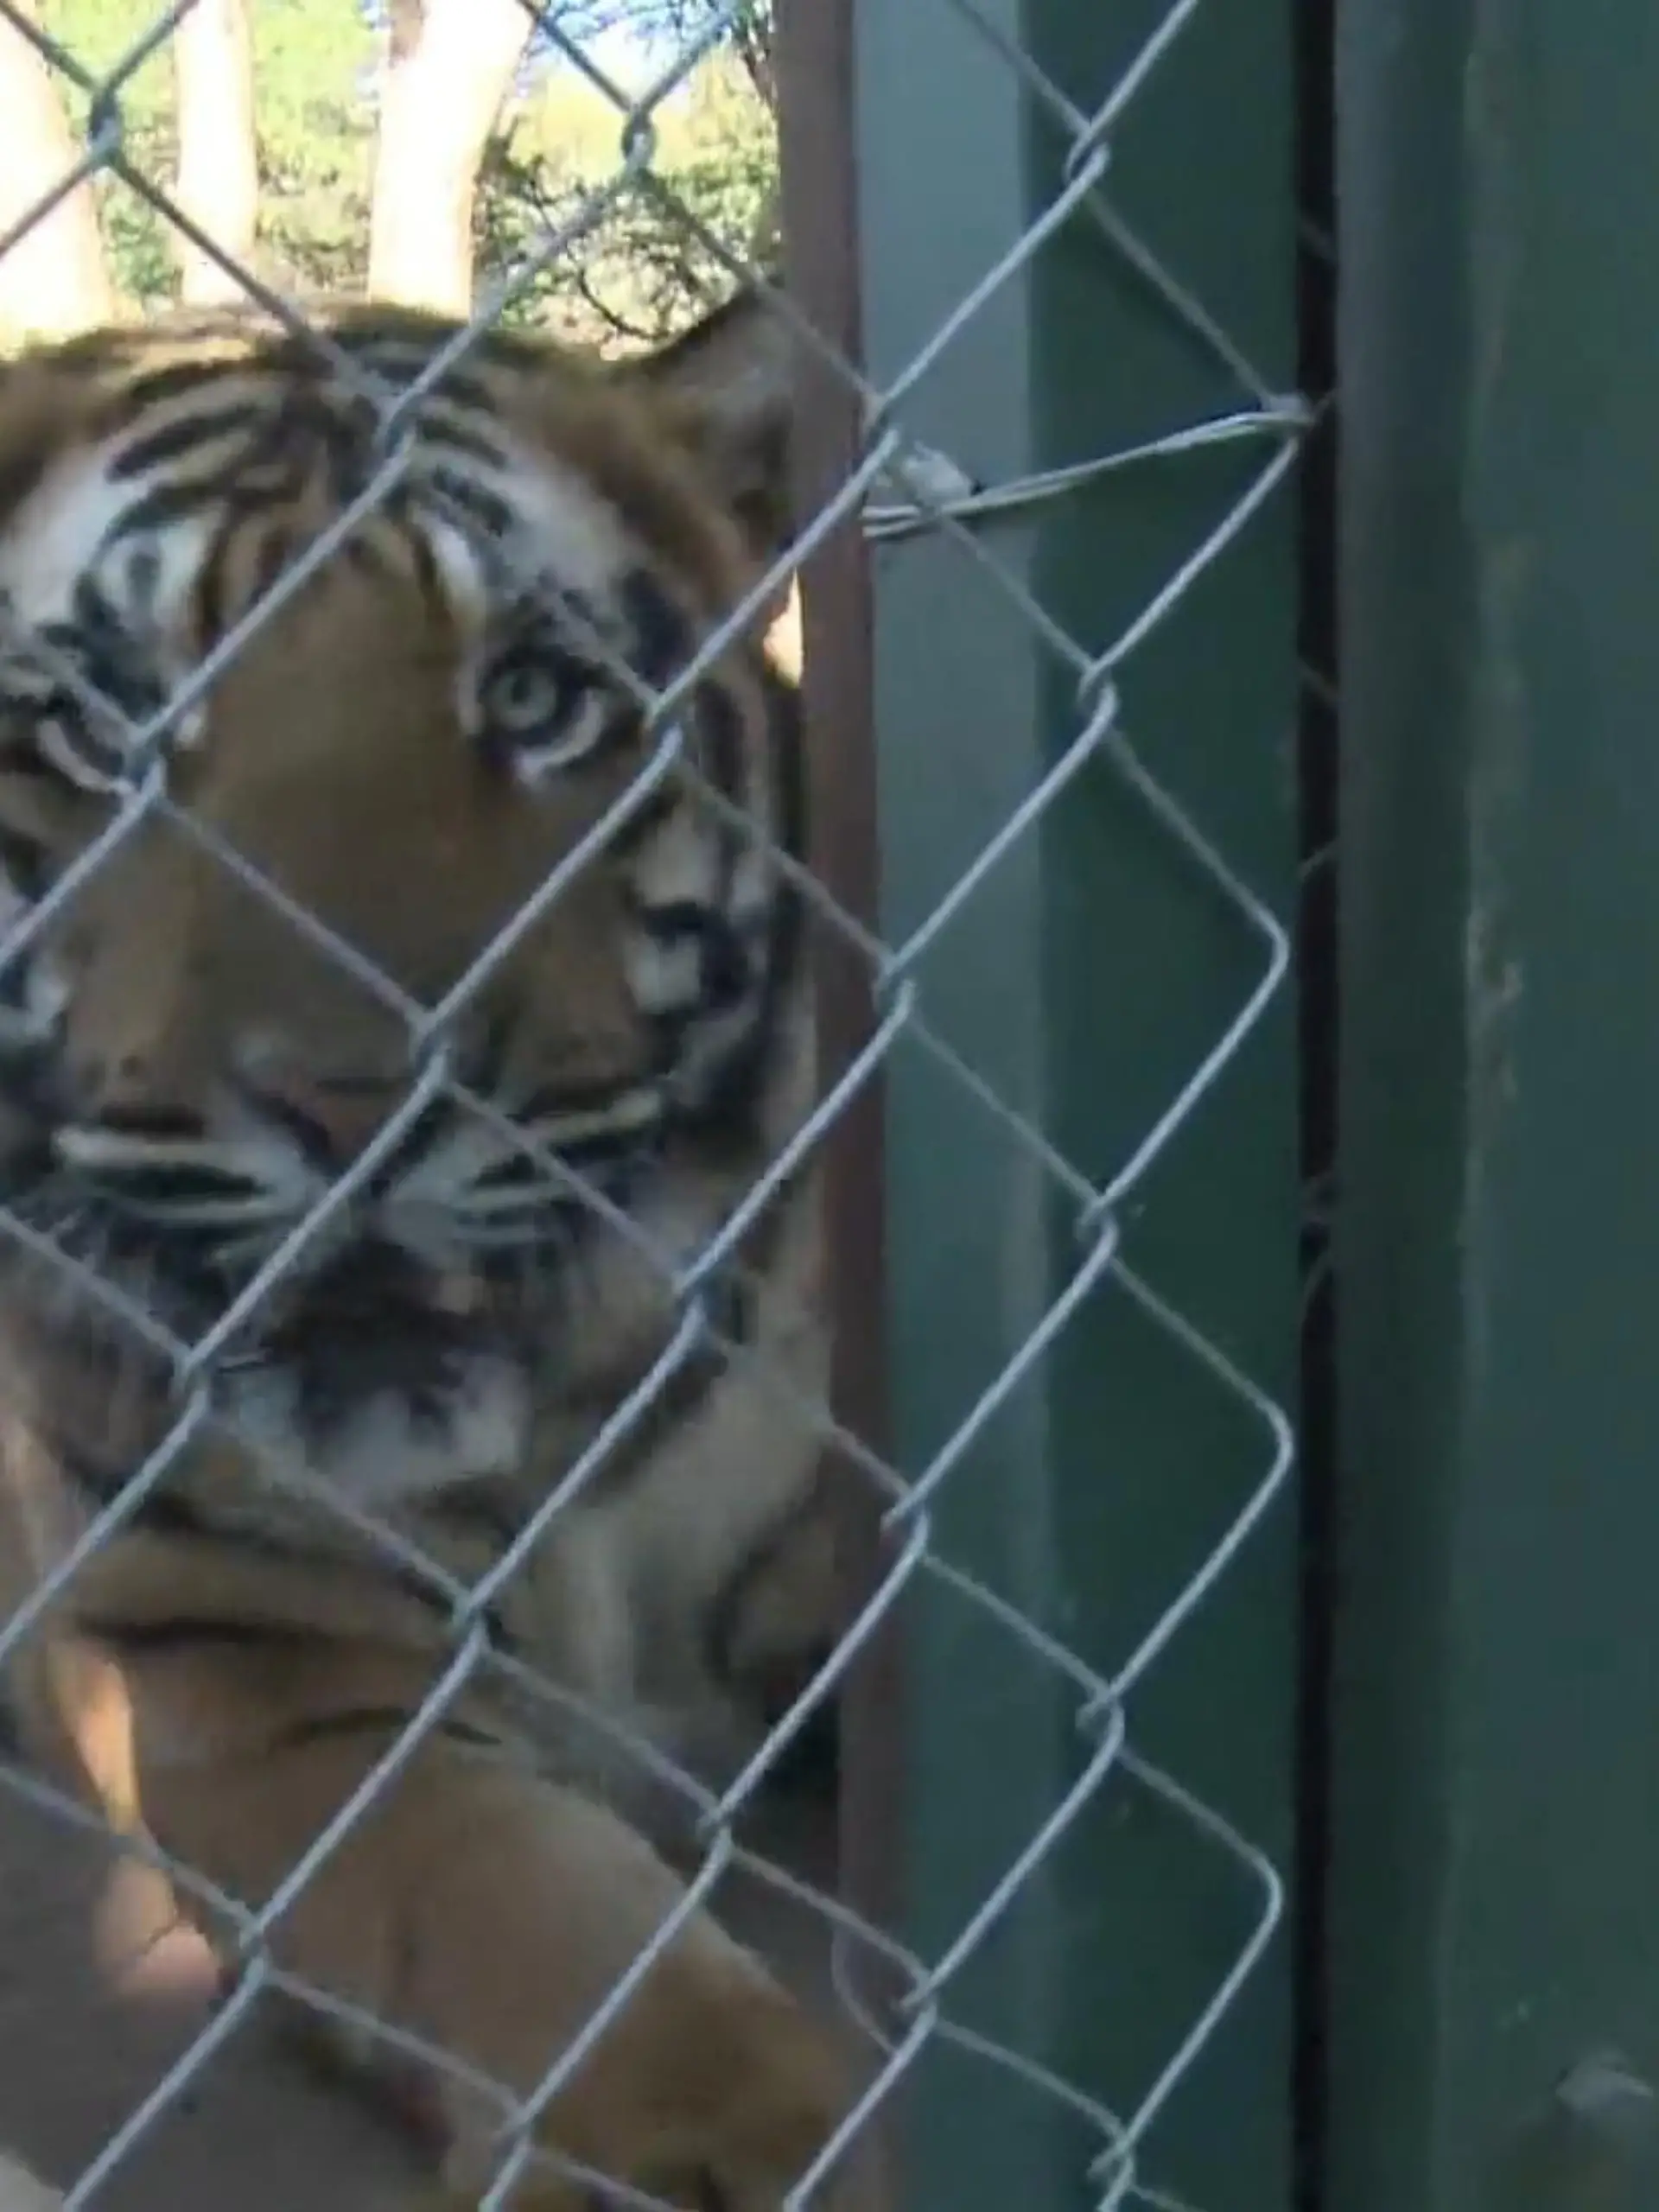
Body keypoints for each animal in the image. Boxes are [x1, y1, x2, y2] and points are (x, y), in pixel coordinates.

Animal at [0, 288, 858, 2208]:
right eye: (101, 726)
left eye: (536, 695)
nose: (359, 1099)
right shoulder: (245, 1664)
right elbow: (516, 1895)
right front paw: (726, 2141)